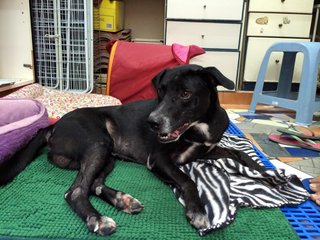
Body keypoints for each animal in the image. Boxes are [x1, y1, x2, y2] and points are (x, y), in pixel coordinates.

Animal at [0, 64, 251, 235]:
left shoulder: (208, 150)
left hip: (107, 155)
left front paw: (262, 174)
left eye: (185, 94)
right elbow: (187, 180)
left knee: (94, 185)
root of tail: (53, 126)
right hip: (98, 144)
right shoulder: (158, 159)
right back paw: (98, 220)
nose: (152, 122)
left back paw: (123, 201)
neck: (200, 127)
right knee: (76, 191)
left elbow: (240, 153)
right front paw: (197, 211)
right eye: (161, 91)